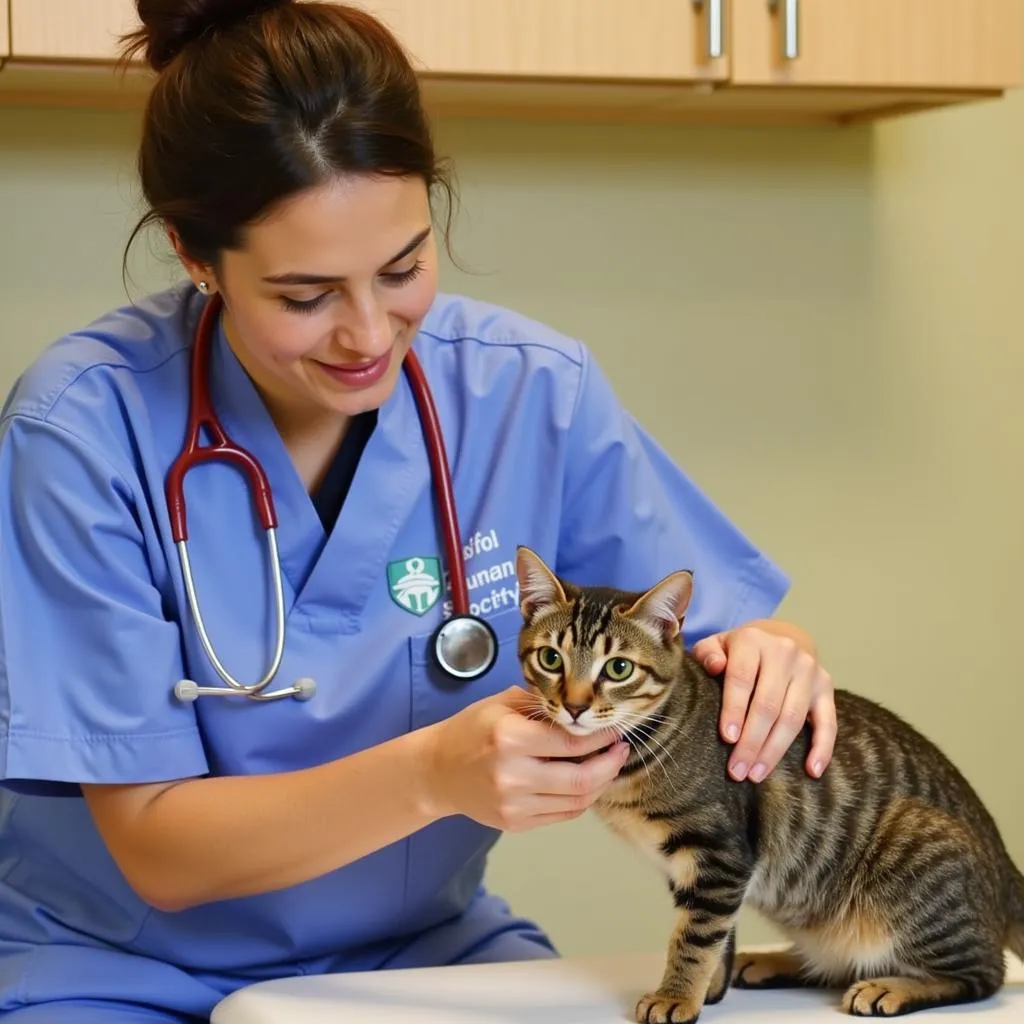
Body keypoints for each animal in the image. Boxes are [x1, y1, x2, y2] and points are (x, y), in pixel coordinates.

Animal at [516, 548, 1024, 1019]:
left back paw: (891, 988)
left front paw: (677, 995)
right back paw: (774, 963)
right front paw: (710, 987)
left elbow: (695, 937)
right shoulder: (701, 870)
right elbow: (714, 934)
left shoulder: (720, 853)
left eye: (618, 668)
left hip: (918, 856)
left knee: (985, 974)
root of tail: (1005, 871)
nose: (574, 706)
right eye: (551, 658)